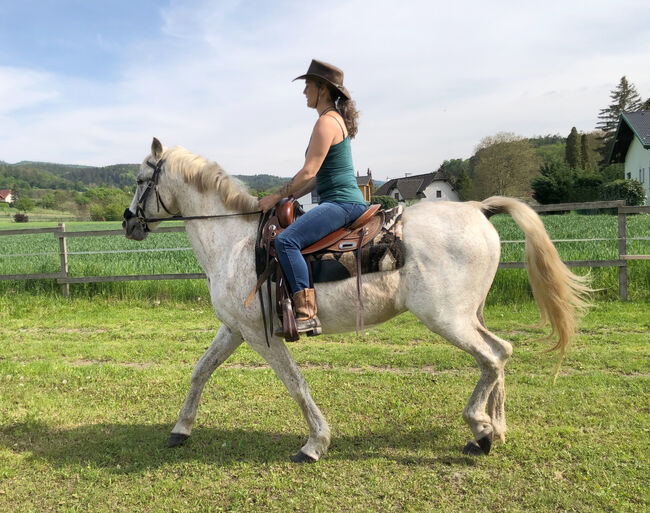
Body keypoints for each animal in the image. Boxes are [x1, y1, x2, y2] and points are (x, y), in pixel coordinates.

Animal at [121, 138, 588, 462]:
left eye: (142, 180)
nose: (128, 222)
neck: (234, 241)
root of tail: (477, 208)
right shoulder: (235, 328)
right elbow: (201, 371)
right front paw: (181, 429)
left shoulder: (260, 335)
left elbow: (295, 383)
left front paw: (315, 443)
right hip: (469, 315)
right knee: (502, 352)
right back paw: (497, 427)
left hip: (446, 318)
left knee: (491, 358)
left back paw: (482, 429)